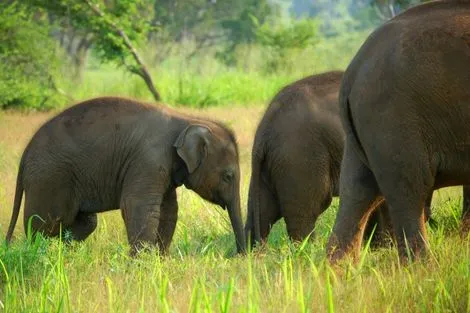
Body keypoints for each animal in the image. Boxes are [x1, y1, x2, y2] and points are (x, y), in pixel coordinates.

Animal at [4, 96, 246, 255]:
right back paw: (39, 255)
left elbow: (169, 210)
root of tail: (25, 155)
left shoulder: (162, 167)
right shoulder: (148, 159)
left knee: (85, 222)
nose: (239, 256)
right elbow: (137, 205)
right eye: (228, 176)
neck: (188, 120)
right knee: (43, 225)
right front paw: (142, 265)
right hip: (48, 179)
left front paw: (159, 261)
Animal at [244, 70, 420, 246]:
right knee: (305, 214)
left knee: (261, 215)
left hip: (272, 166)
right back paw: (308, 248)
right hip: (300, 157)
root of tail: (265, 126)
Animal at [326, 0, 470, 264]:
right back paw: (422, 270)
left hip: (369, 130)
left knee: (358, 192)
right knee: (409, 191)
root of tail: (352, 72)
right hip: (394, 121)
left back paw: (337, 271)